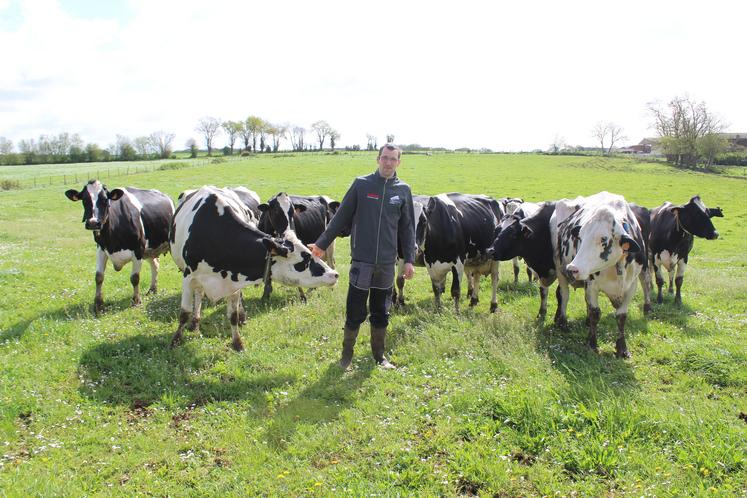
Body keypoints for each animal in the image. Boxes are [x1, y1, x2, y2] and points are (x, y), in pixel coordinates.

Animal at [64, 181, 175, 314]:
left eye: (105, 200)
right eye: (84, 200)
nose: (93, 223)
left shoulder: (138, 249)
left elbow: (135, 278)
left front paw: (136, 301)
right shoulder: (101, 248)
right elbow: (99, 277)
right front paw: (98, 305)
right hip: (150, 250)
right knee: (155, 265)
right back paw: (152, 289)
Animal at [169, 187, 338, 350]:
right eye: (305, 260)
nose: (335, 274)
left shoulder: (234, 279)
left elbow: (233, 315)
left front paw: (237, 343)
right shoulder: (188, 277)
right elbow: (184, 313)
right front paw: (176, 340)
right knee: (198, 294)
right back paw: (195, 322)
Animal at [548, 192, 648, 358]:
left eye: (603, 240)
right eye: (580, 237)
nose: (572, 269)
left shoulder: (631, 285)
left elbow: (621, 316)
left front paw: (622, 348)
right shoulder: (591, 284)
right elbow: (595, 312)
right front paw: (592, 344)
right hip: (559, 268)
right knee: (564, 295)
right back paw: (562, 322)